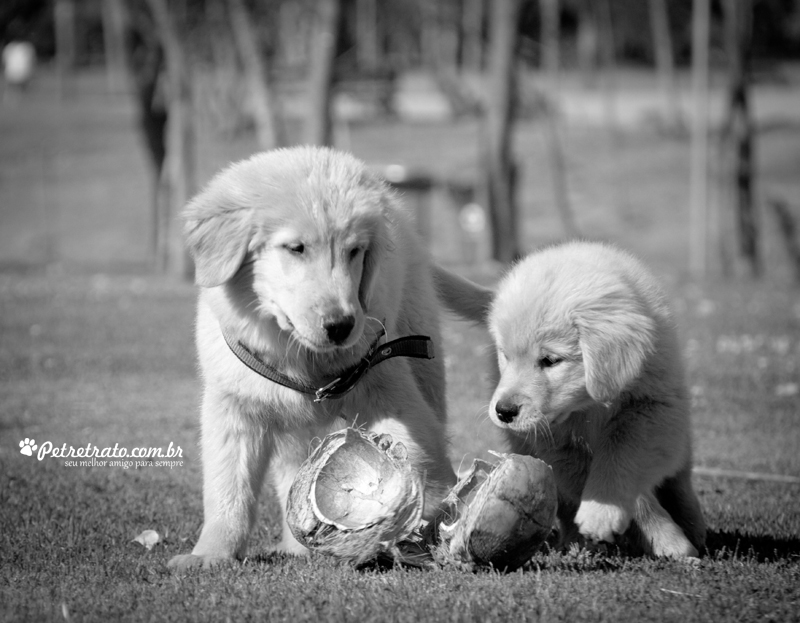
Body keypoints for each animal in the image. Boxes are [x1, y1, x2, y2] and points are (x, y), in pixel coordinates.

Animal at [170, 147, 494, 572]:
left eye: (355, 251)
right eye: (296, 248)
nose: (341, 326)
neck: (301, 356)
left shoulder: (386, 382)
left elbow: (419, 453)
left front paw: (435, 521)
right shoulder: (233, 406)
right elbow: (228, 489)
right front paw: (209, 554)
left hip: (422, 353)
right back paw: (297, 545)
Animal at [488, 241, 708, 560]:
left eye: (550, 360)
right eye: (505, 355)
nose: (504, 411)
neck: (587, 406)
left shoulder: (651, 409)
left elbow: (621, 456)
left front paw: (602, 514)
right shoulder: (557, 445)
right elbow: (627, 494)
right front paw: (661, 536)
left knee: (679, 477)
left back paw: (692, 522)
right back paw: (575, 542)